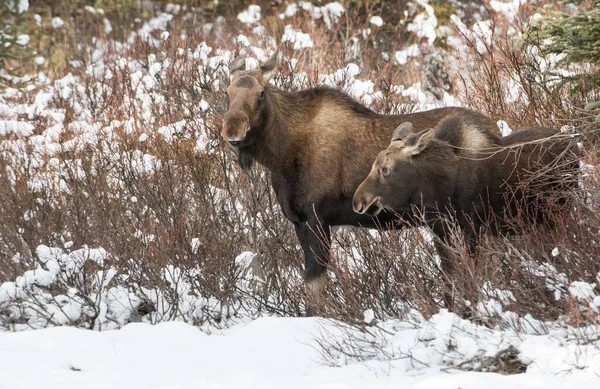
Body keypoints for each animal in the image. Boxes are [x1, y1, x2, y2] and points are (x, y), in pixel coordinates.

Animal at [220, 50, 502, 310]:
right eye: (227, 92)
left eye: (260, 93)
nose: (233, 128)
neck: (281, 156)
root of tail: (495, 131)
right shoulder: (298, 221)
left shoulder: (316, 219)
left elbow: (315, 291)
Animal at [354, 115, 576, 306]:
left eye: (385, 169)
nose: (359, 201)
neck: (438, 193)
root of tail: (575, 149)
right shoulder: (440, 233)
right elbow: (449, 278)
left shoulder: (472, 228)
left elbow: (469, 276)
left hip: (560, 210)